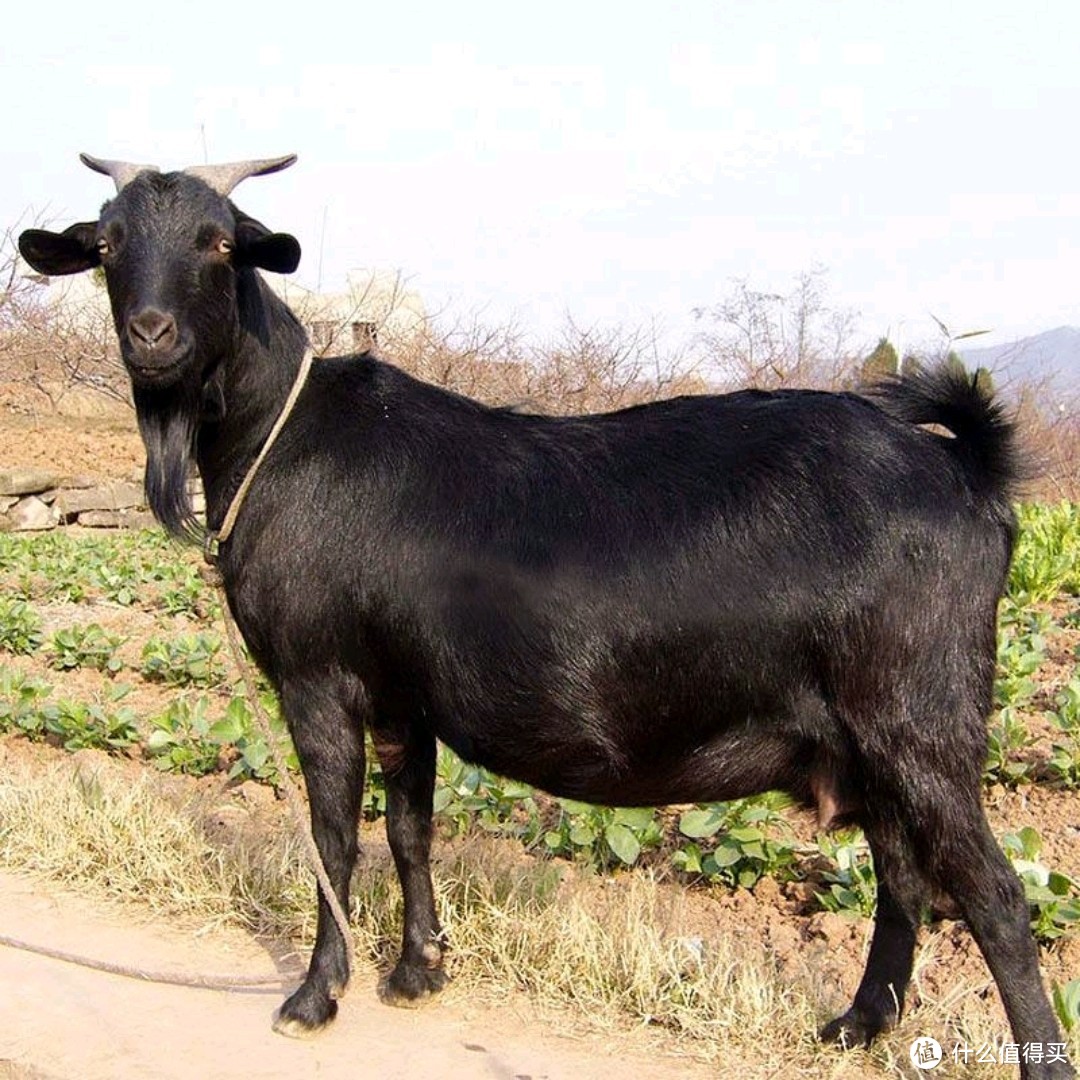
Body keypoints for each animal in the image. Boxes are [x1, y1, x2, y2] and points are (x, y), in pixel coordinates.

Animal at [21, 154, 1075, 1080]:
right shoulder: (403, 696)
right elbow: (409, 830)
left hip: (920, 719)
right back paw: (855, 1026)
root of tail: (964, 469)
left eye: (218, 242)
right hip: (874, 740)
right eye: (108, 244)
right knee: (904, 876)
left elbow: (332, 838)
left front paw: (315, 998)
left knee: (994, 896)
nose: (151, 335)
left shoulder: (319, 677)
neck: (281, 433)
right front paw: (418, 973)